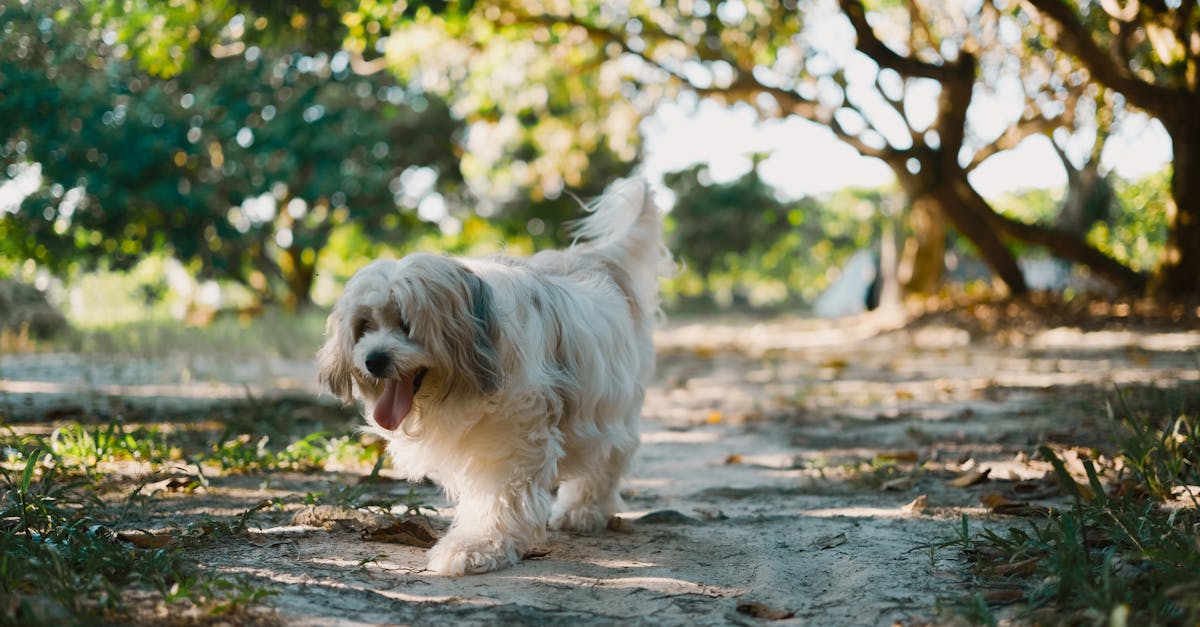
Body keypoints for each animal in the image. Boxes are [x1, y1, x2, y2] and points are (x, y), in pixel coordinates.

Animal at [316, 177, 667, 574]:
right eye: (364, 326)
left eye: (405, 323)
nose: (373, 360)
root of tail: (597, 259)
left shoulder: (514, 435)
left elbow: (499, 495)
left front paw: (477, 546)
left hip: (610, 401)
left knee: (611, 455)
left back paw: (584, 509)